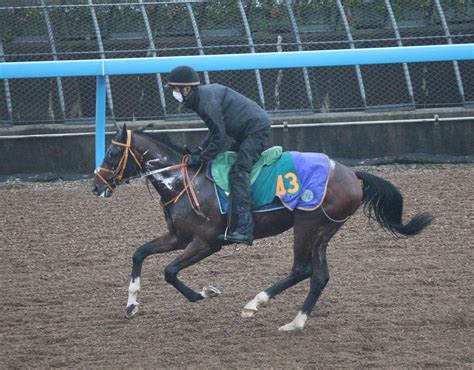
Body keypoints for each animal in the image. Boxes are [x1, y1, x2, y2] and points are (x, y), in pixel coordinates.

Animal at [91, 125, 434, 332]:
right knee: (319, 275)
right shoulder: (178, 237)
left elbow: (170, 271)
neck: (184, 182)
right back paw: (295, 323)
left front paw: (204, 293)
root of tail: (352, 174)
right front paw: (132, 304)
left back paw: (255, 304)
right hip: (323, 231)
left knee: (301, 269)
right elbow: (139, 253)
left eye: (112, 152)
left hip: (307, 225)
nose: (96, 186)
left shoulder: (207, 242)